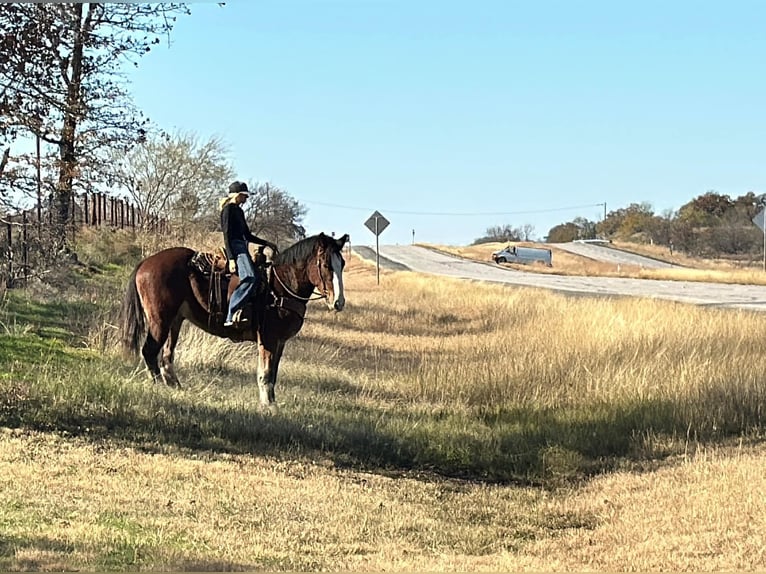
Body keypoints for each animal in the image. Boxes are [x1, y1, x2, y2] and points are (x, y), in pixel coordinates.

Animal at [120, 232, 352, 408]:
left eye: (342, 263)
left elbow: (273, 374)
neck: (279, 287)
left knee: (166, 355)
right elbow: (265, 373)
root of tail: (146, 263)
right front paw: (268, 406)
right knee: (150, 351)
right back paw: (159, 386)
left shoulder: (280, 342)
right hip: (160, 319)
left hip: (175, 320)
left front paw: (272, 403)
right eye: (325, 265)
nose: (338, 302)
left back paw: (175, 386)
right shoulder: (268, 339)